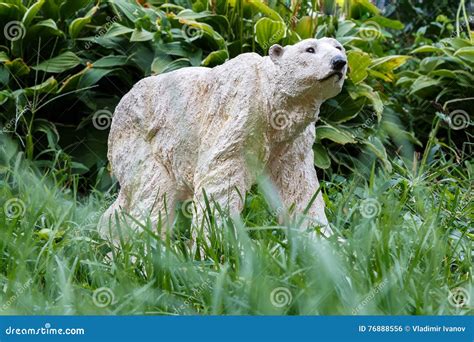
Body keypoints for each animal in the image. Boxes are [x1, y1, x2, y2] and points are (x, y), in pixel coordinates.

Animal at [100, 37, 346, 240]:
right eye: (310, 49)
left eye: (339, 47)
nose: (339, 62)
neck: (272, 101)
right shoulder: (241, 110)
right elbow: (220, 174)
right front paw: (220, 243)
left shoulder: (293, 138)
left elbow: (297, 183)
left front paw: (325, 238)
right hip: (141, 141)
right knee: (152, 193)